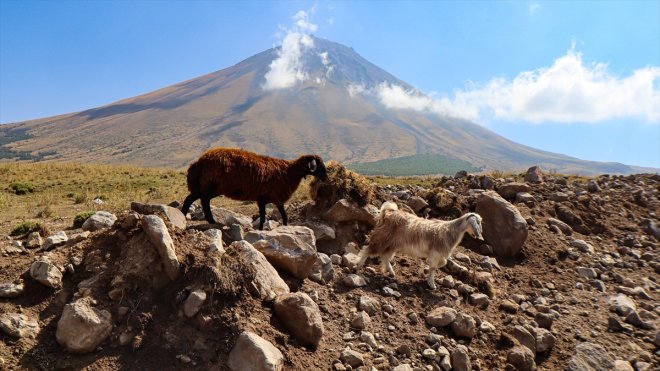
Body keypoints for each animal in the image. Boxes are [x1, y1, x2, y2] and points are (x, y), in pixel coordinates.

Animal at [180, 147, 328, 230]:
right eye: (320, 165)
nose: (326, 178)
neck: (290, 172)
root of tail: (199, 162)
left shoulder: (262, 199)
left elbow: (264, 217)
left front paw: (262, 230)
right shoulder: (277, 199)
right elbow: (284, 216)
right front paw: (284, 228)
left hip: (203, 186)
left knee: (190, 199)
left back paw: (183, 215)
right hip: (213, 186)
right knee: (204, 200)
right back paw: (211, 221)